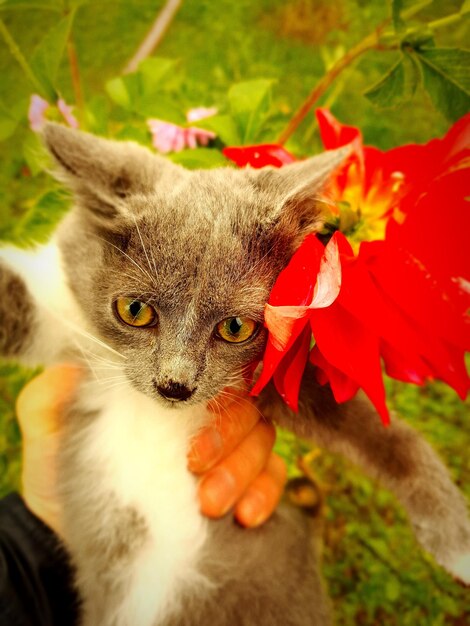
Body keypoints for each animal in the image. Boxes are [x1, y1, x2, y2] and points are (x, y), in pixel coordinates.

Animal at [0, 123, 468, 624]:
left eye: (236, 327)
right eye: (134, 310)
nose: (175, 384)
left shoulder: (280, 372)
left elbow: (378, 434)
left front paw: (455, 542)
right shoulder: (67, 319)